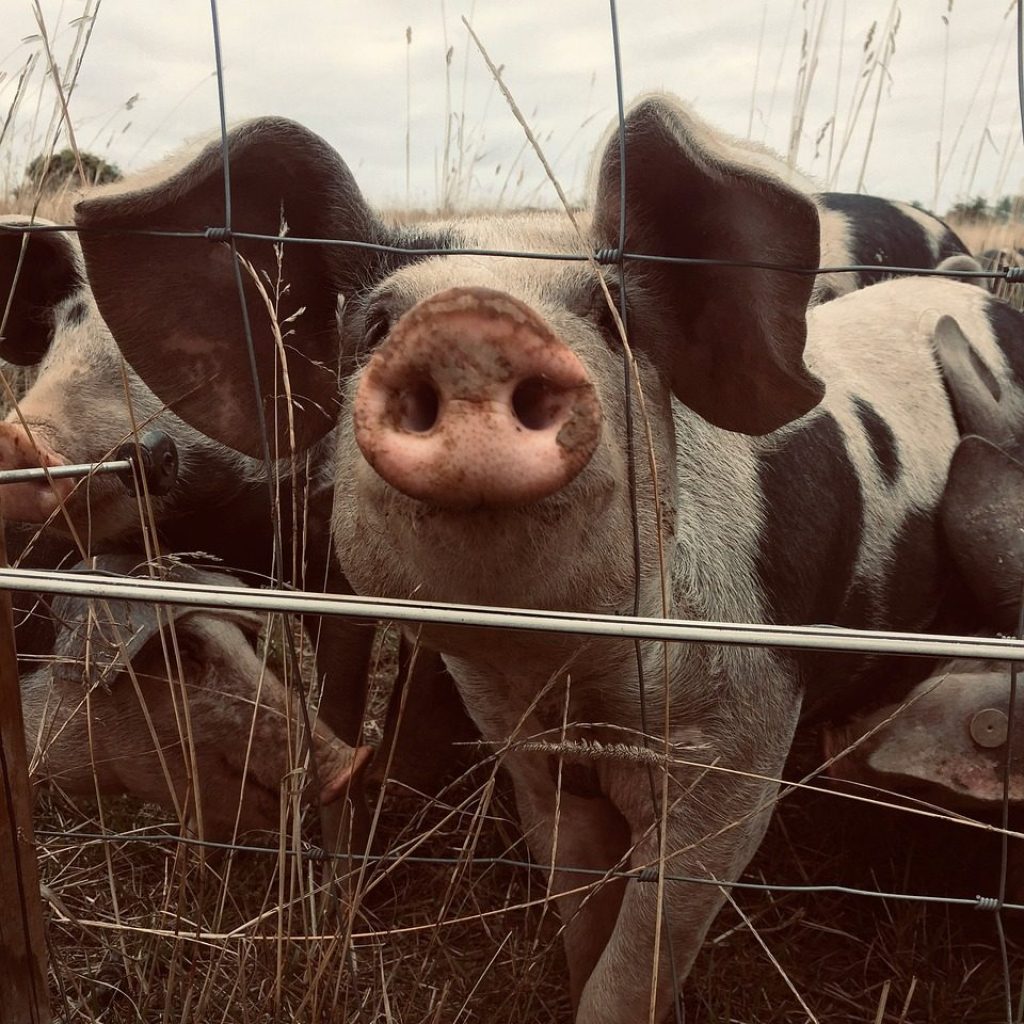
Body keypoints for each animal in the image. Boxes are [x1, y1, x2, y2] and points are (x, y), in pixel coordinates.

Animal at [70, 94, 1024, 1022]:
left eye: (611, 315)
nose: (469, 326)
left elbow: (640, 958)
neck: (573, 682)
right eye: (374, 323)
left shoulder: (742, 751)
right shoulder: (529, 754)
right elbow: (582, 912)